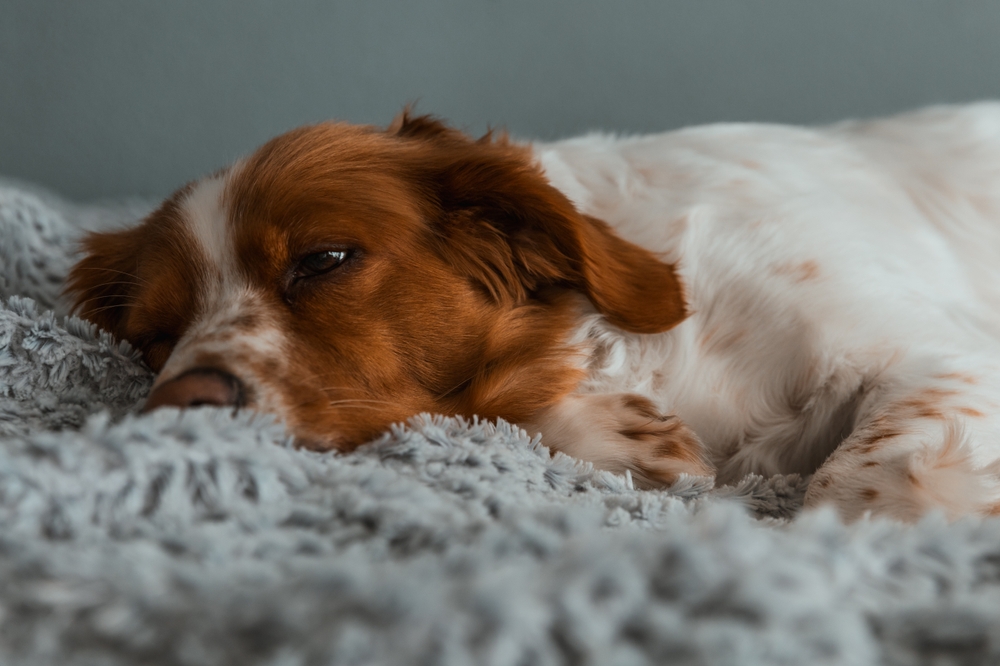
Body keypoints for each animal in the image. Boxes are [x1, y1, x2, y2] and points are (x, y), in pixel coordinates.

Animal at [68, 102, 1000, 520]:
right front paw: (632, 439)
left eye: (323, 260)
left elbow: (854, 483)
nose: (182, 403)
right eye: (154, 336)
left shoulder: (941, 355)